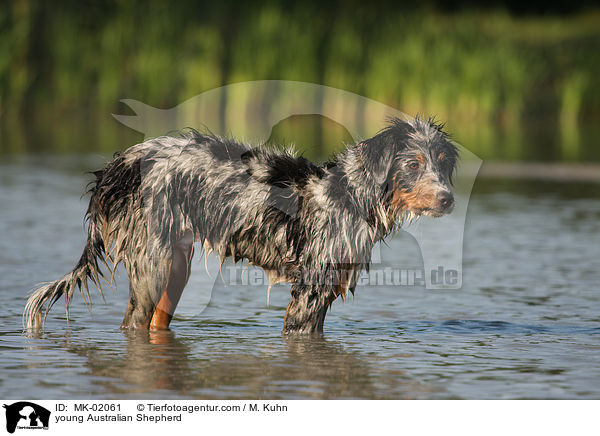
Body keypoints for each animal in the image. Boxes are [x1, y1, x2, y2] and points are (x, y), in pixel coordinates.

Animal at [22, 116, 454, 334]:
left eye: (443, 163)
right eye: (412, 163)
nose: (448, 198)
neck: (350, 194)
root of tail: (121, 163)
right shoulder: (309, 292)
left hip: (175, 269)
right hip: (151, 267)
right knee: (133, 323)